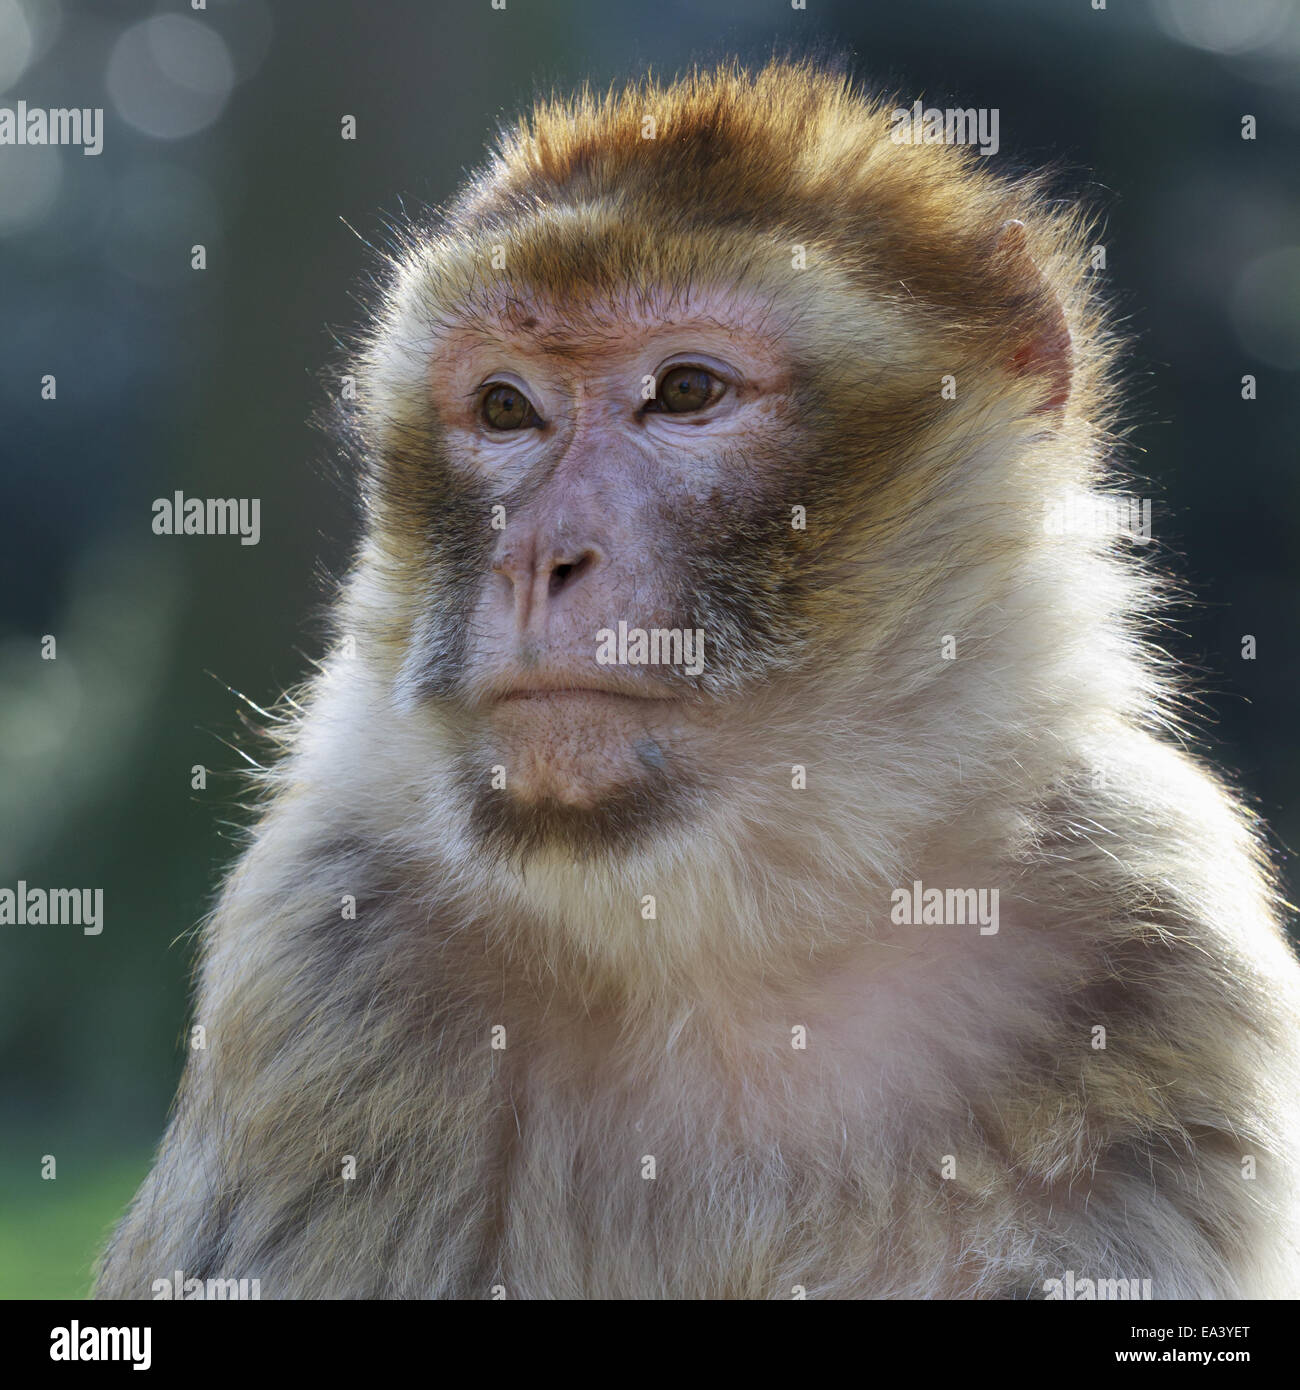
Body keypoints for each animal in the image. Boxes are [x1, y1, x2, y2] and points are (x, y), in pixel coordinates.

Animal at [96, 59, 1300, 1300]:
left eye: (683, 391)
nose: (537, 557)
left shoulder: (1153, 930)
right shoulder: (319, 950)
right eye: (504, 409)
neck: (725, 921)